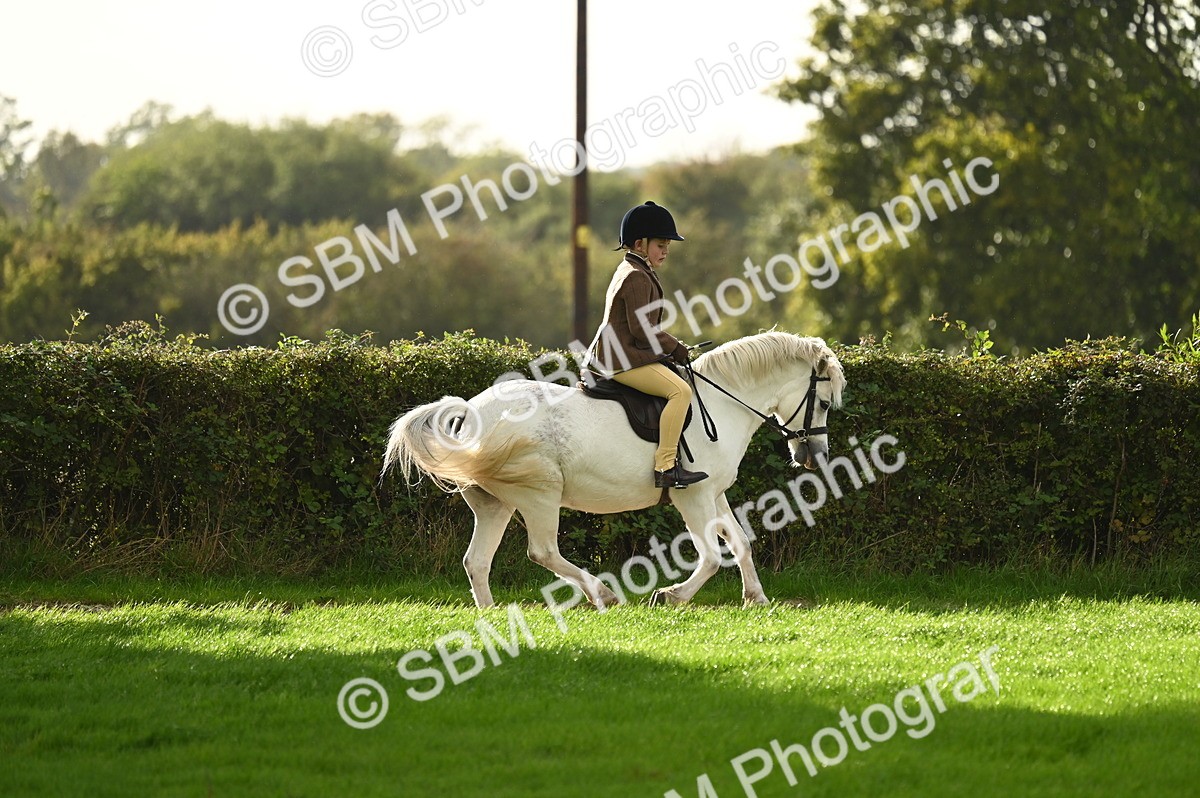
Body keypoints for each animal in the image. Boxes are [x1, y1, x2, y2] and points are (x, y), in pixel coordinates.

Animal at [382, 331, 845, 608]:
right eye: (823, 403)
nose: (814, 455)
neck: (722, 404)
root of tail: (473, 414)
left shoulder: (714, 493)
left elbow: (740, 542)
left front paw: (756, 598)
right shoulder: (692, 495)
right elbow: (712, 555)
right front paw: (672, 595)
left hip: (494, 504)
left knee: (476, 561)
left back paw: (491, 615)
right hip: (539, 494)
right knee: (542, 551)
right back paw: (604, 594)